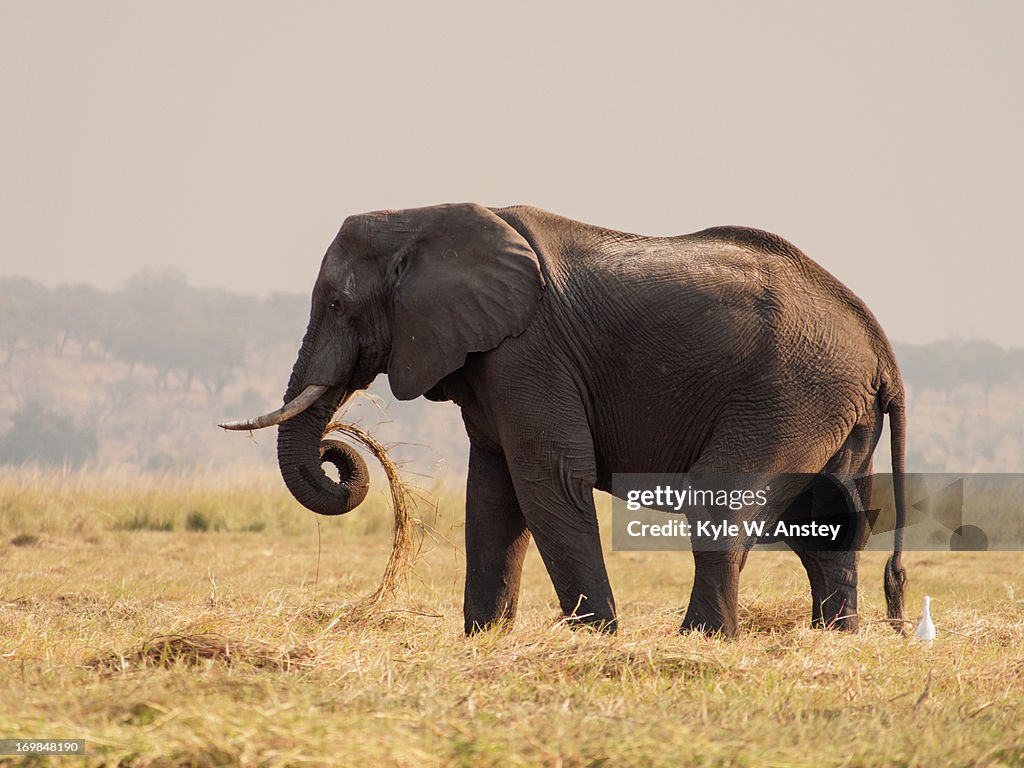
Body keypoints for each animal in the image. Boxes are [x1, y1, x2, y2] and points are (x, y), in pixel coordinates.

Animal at [220, 202, 909, 638]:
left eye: (338, 304)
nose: (339, 449)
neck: (423, 218)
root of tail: (879, 344)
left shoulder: (528, 351)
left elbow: (546, 478)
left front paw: (595, 638)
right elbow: (493, 494)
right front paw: (484, 640)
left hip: (791, 389)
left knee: (720, 497)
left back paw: (700, 640)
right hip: (832, 408)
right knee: (824, 521)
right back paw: (834, 639)